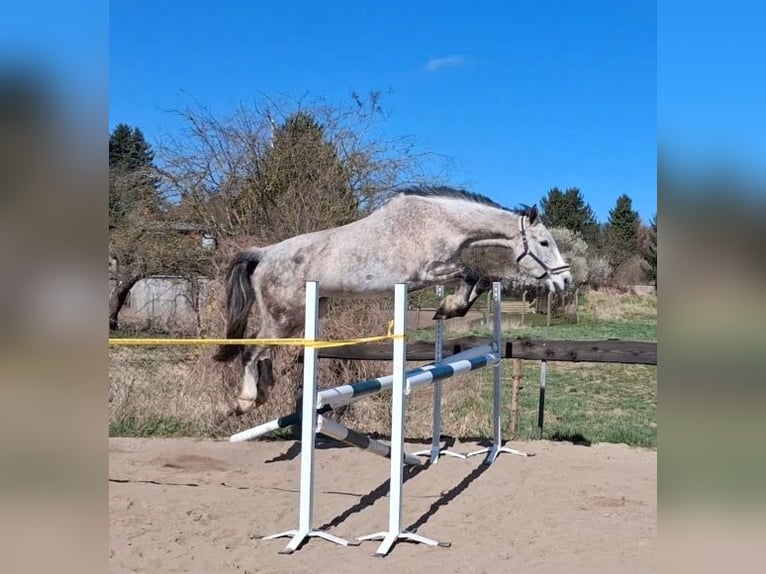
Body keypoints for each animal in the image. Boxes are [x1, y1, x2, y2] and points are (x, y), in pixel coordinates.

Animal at [213, 185, 572, 414]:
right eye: (544, 243)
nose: (565, 279)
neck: (440, 221)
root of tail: (264, 254)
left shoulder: (437, 273)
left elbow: (480, 282)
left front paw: (448, 309)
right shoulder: (427, 273)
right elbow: (473, 275)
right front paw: (448, 308)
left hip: (299, 314)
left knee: (262, 348)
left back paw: (264, 391)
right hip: (284, 314)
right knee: (251, 350)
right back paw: (244, 401)